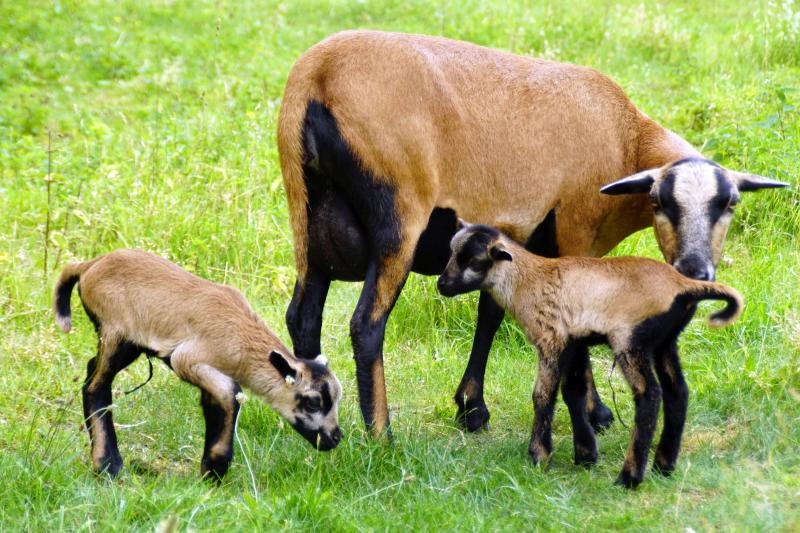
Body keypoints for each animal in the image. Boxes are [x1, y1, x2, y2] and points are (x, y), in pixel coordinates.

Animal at [54, 248, 342, 478]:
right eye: (314, 401)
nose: (335, 437)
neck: (243, 338)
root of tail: (89, 266)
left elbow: (217, 406)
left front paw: (210, 472)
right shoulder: (187, 360)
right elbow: (232, 393)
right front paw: (216, 467)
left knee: (91, 369)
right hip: (116, 333)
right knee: (94, 387)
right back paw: (108, 465)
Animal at [276, 30, 788, 436]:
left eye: (730, 204)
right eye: (660, 203)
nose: (696, 271)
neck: (627, 139)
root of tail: (316, 75)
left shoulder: (507, 241)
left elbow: (490, 314)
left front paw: (471, 408)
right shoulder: (576, 230)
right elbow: (577, 313)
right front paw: (596, 413)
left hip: (310, 221)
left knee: (303, 317)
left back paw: (313, 423)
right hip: (397, 216)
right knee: (366, 324)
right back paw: (381, 436)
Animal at [438, 222, 744, 488]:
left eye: (473, 260)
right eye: (452, 252)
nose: (441, 285)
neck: (525, 279)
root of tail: (681, 285)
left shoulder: (551, 338)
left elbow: (543, 395)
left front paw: (539, 456)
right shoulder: (574, 342)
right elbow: (574, 392)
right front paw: (585, 455)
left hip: (630, 340)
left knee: (650, 395)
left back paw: (629, 478)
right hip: (665, 342)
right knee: (677, 392)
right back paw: (663, 467)